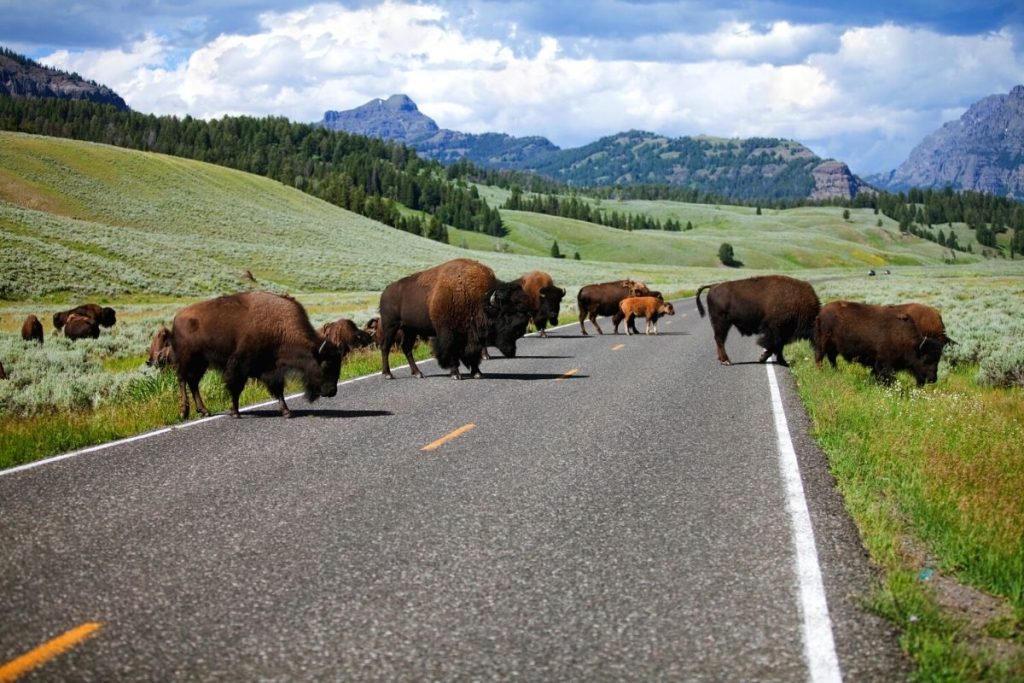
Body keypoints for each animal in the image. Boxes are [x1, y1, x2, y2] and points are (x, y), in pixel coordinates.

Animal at [169, 290, 342, 419]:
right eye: (326, 365)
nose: (332, 391)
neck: (280, 326)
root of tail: (177, 318)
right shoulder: (240, 364)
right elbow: (236, 387)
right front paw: (235, 412)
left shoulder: (272, 368)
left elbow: (278, 389)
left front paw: (286, 412)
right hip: (187, 358)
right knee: (182, 379)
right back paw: (184, 411)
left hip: (201, 362)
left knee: (193, 382)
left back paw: (204, 411)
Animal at [378, 259, 536, 382]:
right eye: (506, 314)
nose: (522, 326)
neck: (480, 300)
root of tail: (386, 290)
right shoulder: (449, 334)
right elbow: (452, 352)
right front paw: (456, 374)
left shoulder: (473, 337)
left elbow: (473, 354)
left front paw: (477, 373)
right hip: (391, 326)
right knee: (385, 347)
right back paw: (388, 374)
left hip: (410, 329)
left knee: (406, 348)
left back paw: (418, 373)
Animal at [811, 301, 946, 387]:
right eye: (926, 359)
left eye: (938, 360)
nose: (932, 379)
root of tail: (821, 312)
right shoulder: (884, 364)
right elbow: (887, 377)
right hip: (823, 342)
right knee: (819, 356)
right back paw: (820, 372)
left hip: (833, 347)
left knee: (831, 358)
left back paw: (836, 372)